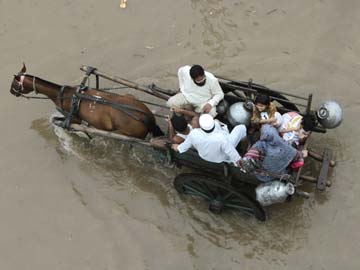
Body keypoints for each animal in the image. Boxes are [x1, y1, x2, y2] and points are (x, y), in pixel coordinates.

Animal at [9, 64, 165, 138]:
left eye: (15, 83)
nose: (11, 92)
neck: (62, 94)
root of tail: (146, 116)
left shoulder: (73, 119)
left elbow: (60, 122)